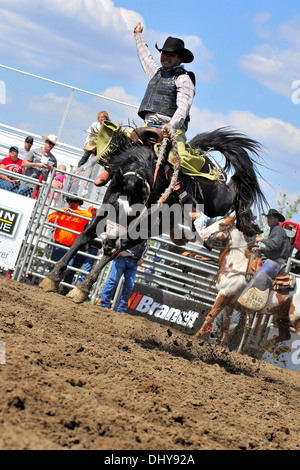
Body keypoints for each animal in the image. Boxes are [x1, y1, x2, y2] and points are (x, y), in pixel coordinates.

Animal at [39, 125, 268, 302]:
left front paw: (81, 289)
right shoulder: (104, 210)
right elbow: (84, 237)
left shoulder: (140, 227)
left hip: (216, 201)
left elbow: (113, 250)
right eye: (113, 206)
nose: (109, 241)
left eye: (132, 214)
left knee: (235, 186)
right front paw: (52, 277)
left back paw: (248, 222)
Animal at [195, 216, 300, 346]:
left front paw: (196, 337)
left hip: (296, 319)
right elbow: (226, 323)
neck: (237, 263)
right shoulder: (229, 302)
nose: (201, 233)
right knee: (285, 335)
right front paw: (224, 345)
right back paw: (262, 345)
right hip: (281, 315)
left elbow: (211, 316)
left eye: (221, 224)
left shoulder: (223, 295)